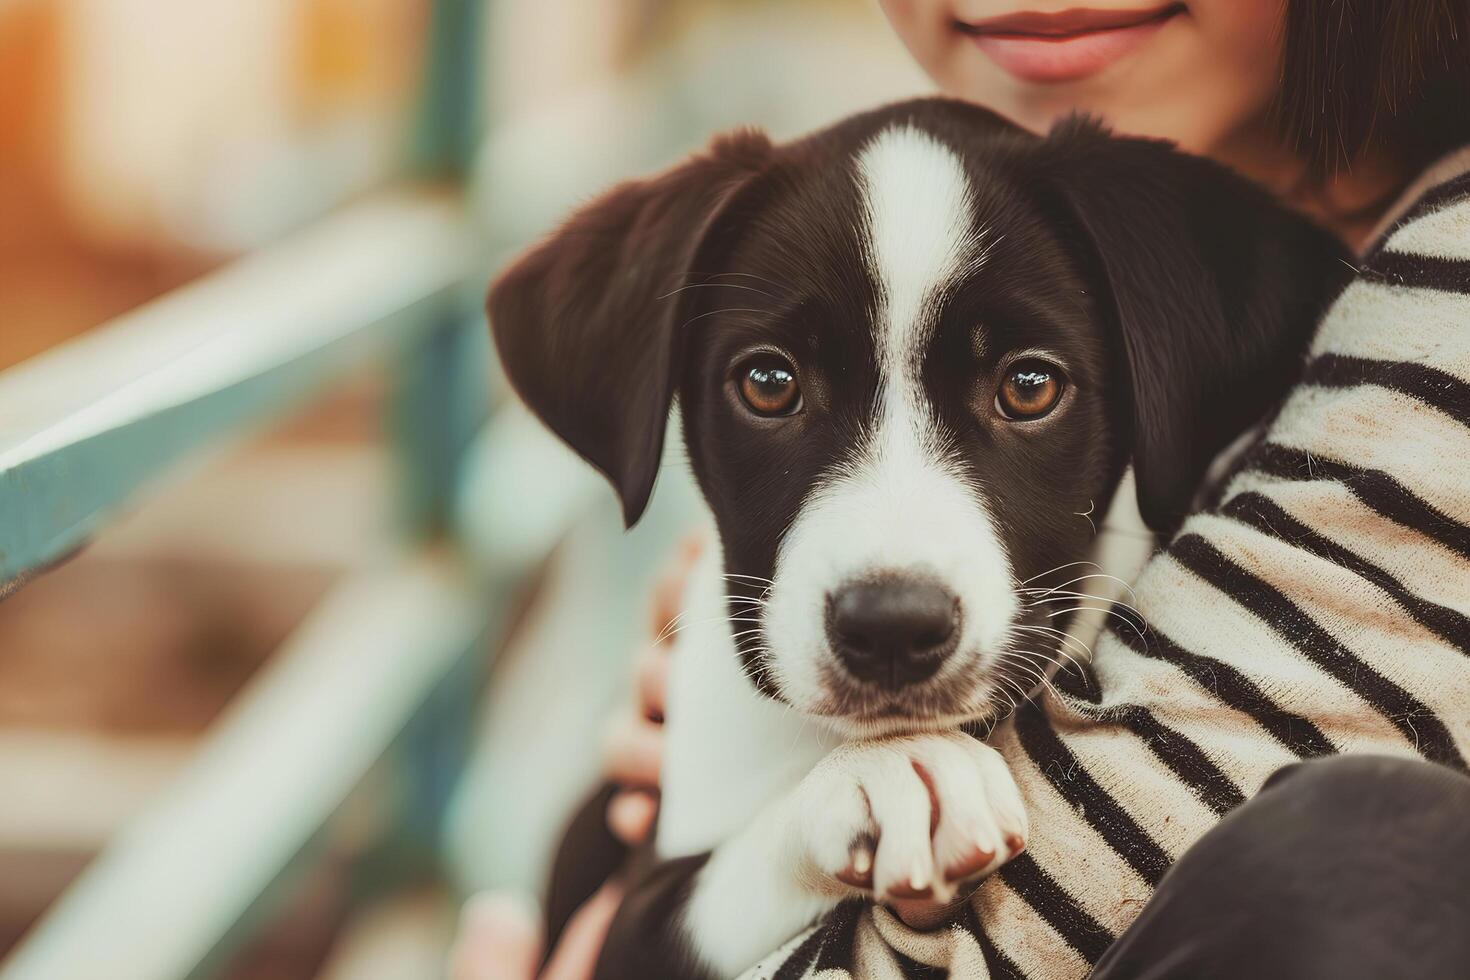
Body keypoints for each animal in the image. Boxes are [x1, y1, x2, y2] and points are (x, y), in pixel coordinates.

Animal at [488, 101, 1346, 980]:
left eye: (1029, 386)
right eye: (768, 383)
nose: (892, 628)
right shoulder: (622, 913)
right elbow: (716, 883)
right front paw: (883, 780)